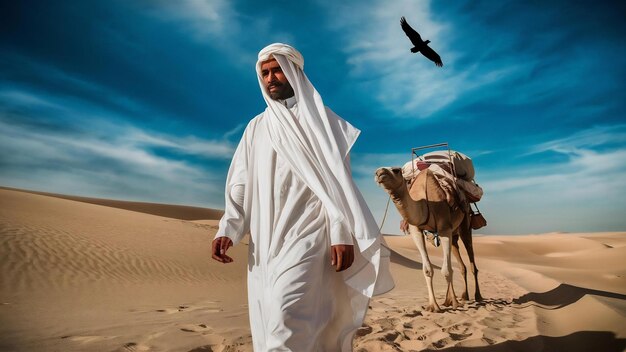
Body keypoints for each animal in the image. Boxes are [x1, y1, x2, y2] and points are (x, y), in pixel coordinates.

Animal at [372, 166, 480, 312]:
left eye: (396, 170)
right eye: (376, 171)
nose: (379, 173)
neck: (424, 203)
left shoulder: (444, 228)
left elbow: (446, 271)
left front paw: (454, 303)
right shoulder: (416, 230)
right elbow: (428, 270)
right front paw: (433, 306)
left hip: (465, 223)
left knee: (470, 258)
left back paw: (477, 297)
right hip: (454, 232)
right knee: (459, 261)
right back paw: (462, 296)